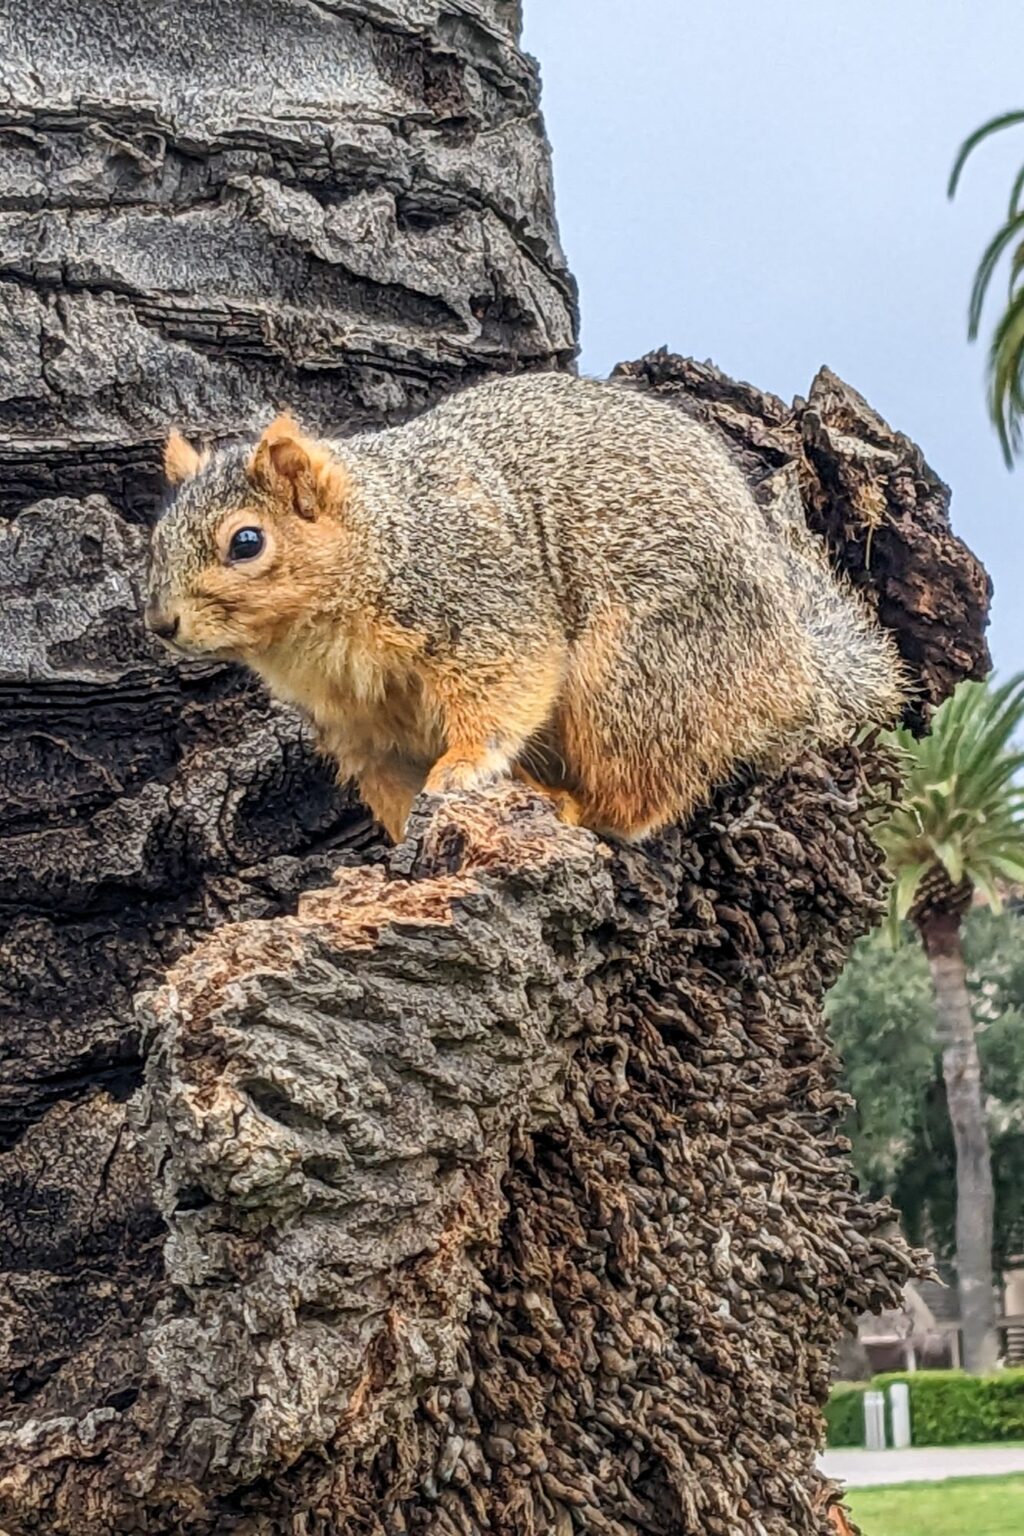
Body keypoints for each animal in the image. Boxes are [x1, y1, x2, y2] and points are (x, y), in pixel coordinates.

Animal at [145, 372, 904, 843]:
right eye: (154, 538)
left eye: (246, 541)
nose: (161, 625)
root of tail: (793, 664)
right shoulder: (362, 729)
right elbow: (392, 784)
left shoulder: (482, 603)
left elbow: (502, 693)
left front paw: (463, 766)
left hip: (638, 678)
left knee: (645, 794)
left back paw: (579, 808)